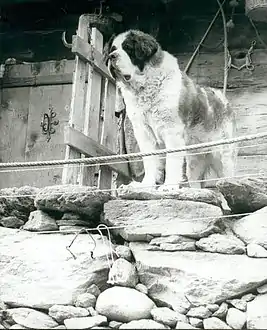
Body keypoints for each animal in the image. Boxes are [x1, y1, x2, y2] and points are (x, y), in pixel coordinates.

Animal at [105, 31, 236, 191]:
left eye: (128, 48)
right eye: (113, 49)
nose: (111, 56)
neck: (145, 87)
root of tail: (223, 99)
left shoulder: (172, 132)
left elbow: (172, 161)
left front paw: (168, 186)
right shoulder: (144, 133)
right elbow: (150, 161)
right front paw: (146, 184)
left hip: (223, 154)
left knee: (227, 174)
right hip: (195, 158)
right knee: (195, 178)